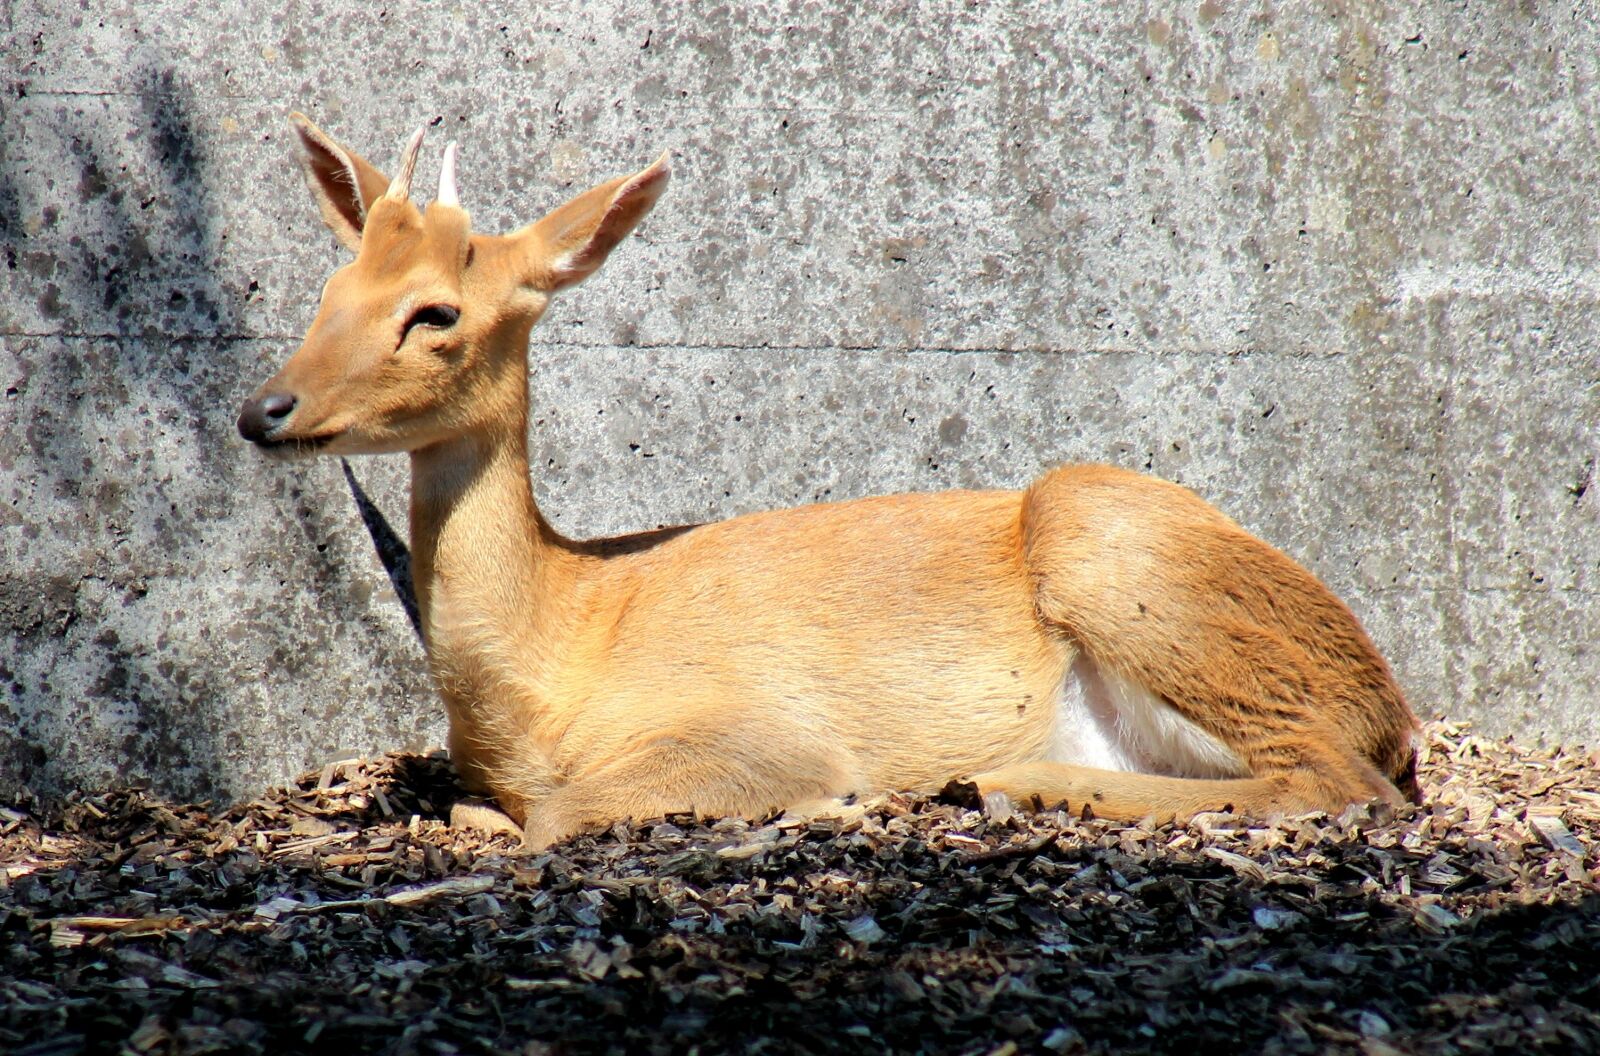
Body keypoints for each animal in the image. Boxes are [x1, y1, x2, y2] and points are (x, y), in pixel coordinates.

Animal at [237, 116, 1422, 849]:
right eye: (332, 288)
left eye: (434, 311)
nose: (263, 410)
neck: (554, 652)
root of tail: (1389, 703)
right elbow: (485, 815)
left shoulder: (756, 721)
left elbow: (559, 818)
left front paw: (832, 801)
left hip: (1116, 545)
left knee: (1335, 779)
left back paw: (994, 781)